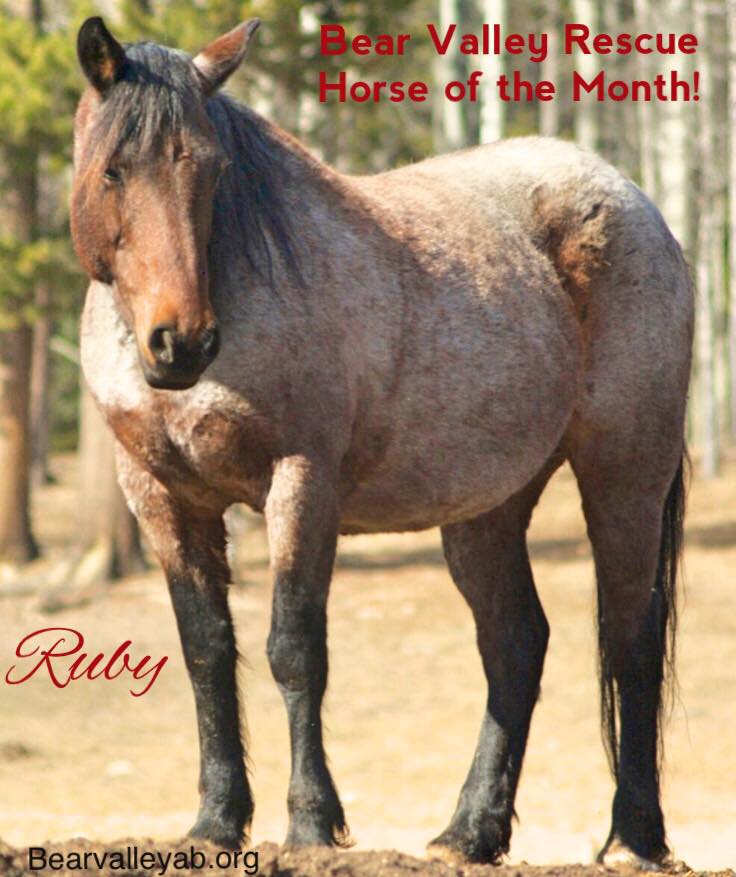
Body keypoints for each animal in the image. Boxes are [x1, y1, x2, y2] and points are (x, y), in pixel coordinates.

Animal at [70, 16, 693, 867]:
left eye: (211, 171)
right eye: (113, 170)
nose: (182, 342)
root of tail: (638, 205)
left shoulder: (301, 482)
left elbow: (294, 647)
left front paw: (310, 822)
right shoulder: (162, 496)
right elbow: (206, 650)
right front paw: (215, 821)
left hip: (625, 472)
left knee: (630, 635)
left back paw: (633, 835)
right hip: (487, 507)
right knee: (516, 642)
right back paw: (469, 832)